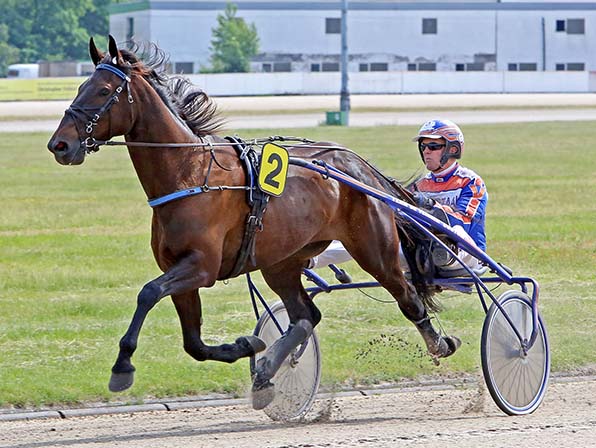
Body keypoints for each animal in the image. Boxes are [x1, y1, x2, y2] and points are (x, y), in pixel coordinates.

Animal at [46, 37, 460, 410]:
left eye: (102, 91)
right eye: (80, 87)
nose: (59, 145)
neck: (189, 173)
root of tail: (359, 166)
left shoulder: (201, 267)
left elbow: (148, 293)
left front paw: (122, 366)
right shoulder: (180, 270)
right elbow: (193, 344)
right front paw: (247, 346)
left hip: (374, 249)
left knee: (407, 297)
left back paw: (441, 343)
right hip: (283, 260)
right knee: (306, 316)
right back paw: (266, 371)